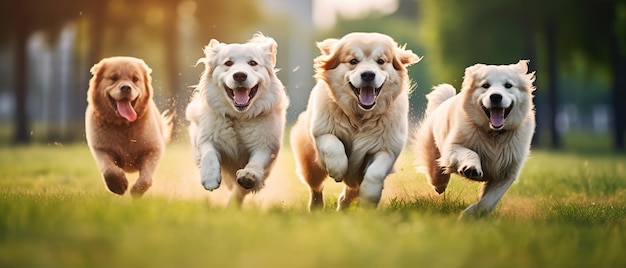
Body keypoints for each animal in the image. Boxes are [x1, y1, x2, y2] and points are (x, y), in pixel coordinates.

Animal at [85, 56, 173, 197]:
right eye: (113, 78)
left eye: (135, 79)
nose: (126, 88)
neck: (123, 124)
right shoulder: (100, 148)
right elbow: (109, 170)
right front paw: (118, 185)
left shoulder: (153, 149)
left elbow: (146, 178)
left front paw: (137, 190)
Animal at [184, 33, 288, 205]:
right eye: (228, 63)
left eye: (253, 63)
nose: (239, 75)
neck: (239, 118)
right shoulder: (205, 138)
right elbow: (208, 153)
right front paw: (210, 178)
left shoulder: (266, 146)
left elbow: (256, 161)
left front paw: (248, 175)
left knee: (239, 191)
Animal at [292, 32, 420, 210]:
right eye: (353, 61)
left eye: (381, 61)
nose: (368, 74)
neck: (360, 115)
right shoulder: (321, 131)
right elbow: (333, 145)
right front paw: (338, 169)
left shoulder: (387, 148)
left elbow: (375, 173)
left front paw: (369, 197)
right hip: (311, 165)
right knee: (315, 187)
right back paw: (316, 207)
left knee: (350, 192)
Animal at [412, 59, 532, 217]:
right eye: (485, 85)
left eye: (508, 85)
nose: (496, 96)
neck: (493, 134)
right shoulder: (453, 146)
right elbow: (470, 152)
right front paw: (471, 168)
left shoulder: (507, 172)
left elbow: (488, 201)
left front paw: (469, 214)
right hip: (432, 150)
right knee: (436, 173)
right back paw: (440, 184)